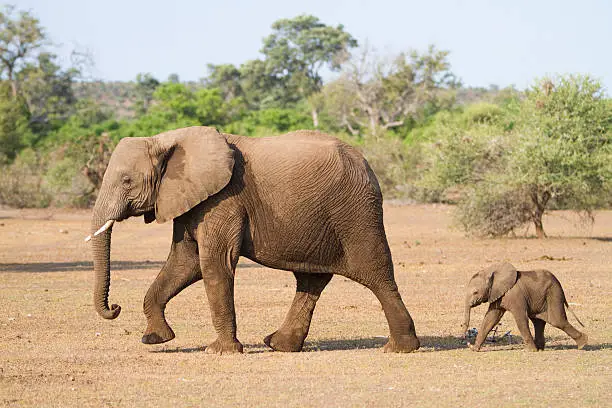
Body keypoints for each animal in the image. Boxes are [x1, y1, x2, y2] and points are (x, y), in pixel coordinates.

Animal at [87, 126, 420, 352]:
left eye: (127, 181)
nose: (115, 307)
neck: (166, 140)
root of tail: (366, 163)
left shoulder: (224, 199)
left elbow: (214, 264)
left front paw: (219, 351)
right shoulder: (191, 199)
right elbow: (184, 262)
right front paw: (155, 339)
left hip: (357, 213)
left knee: (377, 274)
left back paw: (400, 348)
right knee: (311, 280)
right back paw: (279, 345)